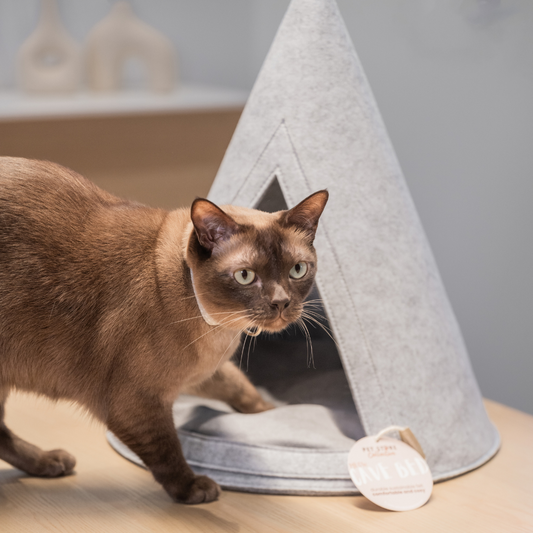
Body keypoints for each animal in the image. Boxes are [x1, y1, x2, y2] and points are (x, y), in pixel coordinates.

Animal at [0, 157, 326, 502]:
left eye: (297, 270)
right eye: (245, 276)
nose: (281, 302)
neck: (219, 330)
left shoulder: (203, 372)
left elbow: (240, 387)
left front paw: (269, 412)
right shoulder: (136, 402)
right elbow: (167, 450)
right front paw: (192, 488)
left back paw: (48, 462)